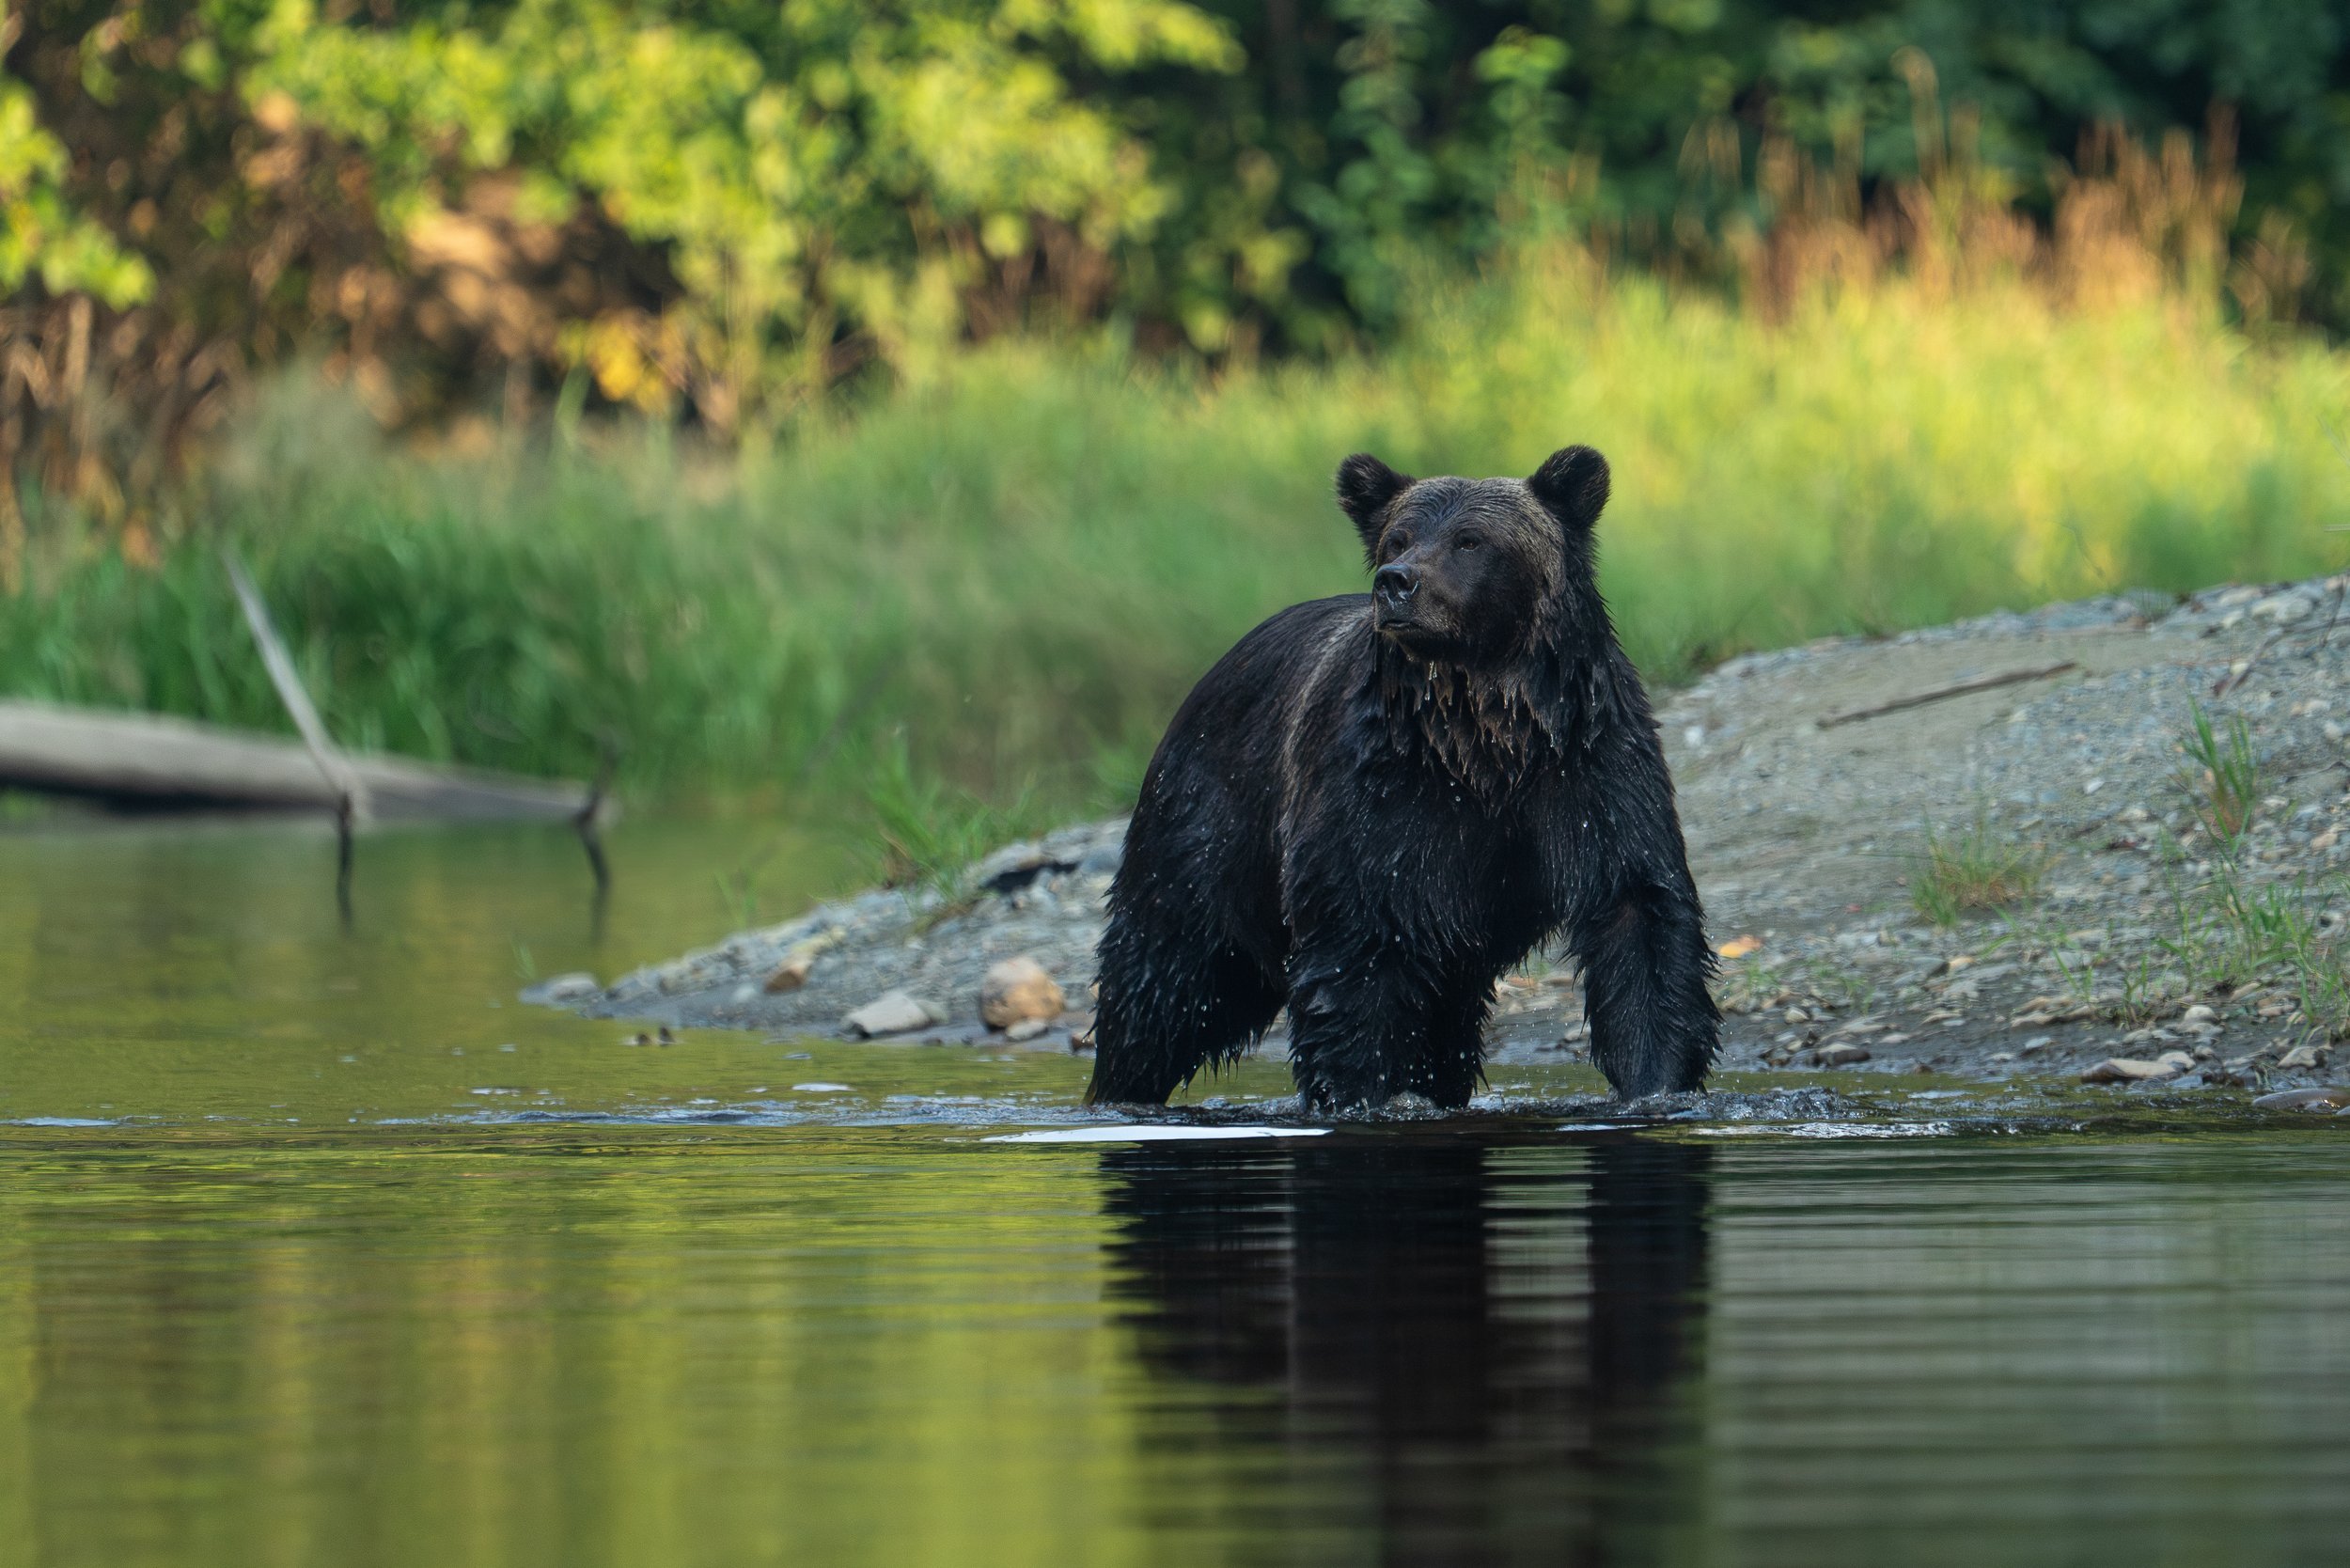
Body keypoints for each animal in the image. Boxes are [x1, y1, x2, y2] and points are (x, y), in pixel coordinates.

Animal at [1085, 445, 1718, 1111]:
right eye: (1399, 537)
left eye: (1470, 540)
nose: (1396, 582)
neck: (1486, 733)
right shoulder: (1384, 792)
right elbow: (1359, 946)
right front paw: (1363, 1093)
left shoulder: (1589, 771)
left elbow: (1637, 918)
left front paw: (1656, 1082)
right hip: (1211, 826)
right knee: (1168, 978)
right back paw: (1121, 1087)